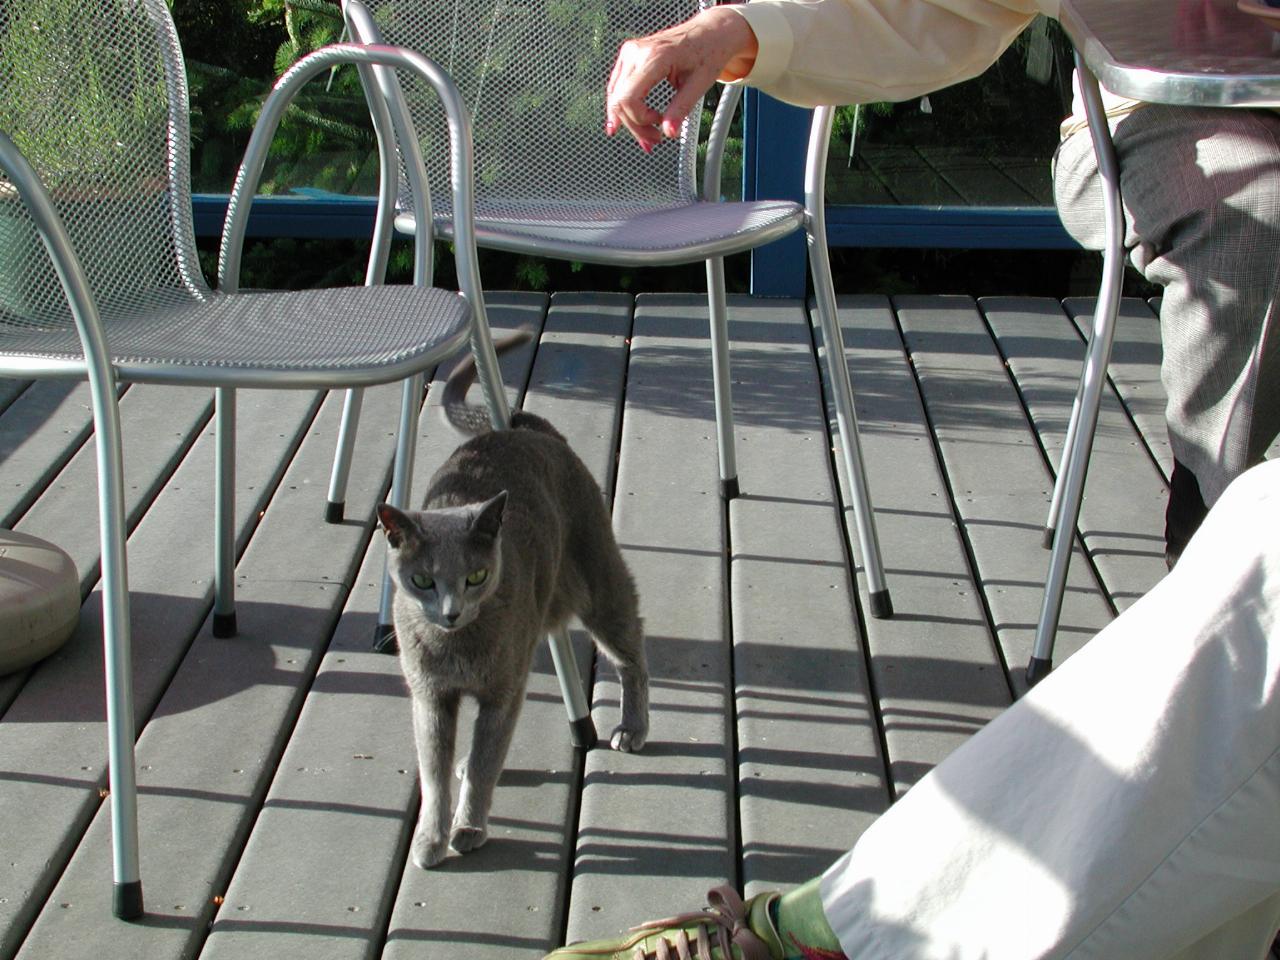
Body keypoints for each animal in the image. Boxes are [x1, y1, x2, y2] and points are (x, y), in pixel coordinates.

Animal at [373, 332, 645, 870]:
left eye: (476, 576)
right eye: (422, 580)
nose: (451, 610)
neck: (456, 647)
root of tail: (525, 427)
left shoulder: (503, 691)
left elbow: (485, 762)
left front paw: (468, 829)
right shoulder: (430, 696)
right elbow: (433, 773)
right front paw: (431, 839)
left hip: (599, 580)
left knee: (631, 651)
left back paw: (632, 728)